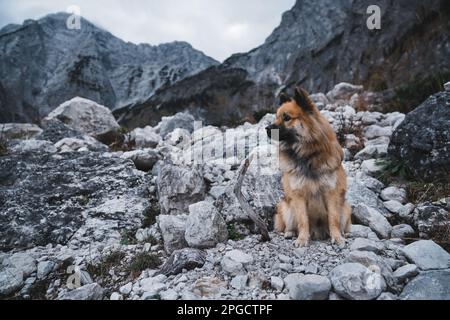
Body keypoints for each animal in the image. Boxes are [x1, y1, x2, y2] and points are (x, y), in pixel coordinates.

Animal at [268, 87, 352, 248]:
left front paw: (337, 237)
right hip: (286, 207)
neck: (308, 155)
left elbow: (333, 219)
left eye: (286, 117)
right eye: (276, 117)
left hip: (345, 208)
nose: (266, 128)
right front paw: (302, 239)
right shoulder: (298, 195)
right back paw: (290, 233)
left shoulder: (331, 193)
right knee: (288, 225)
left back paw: (344, 233)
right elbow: (302, 220)